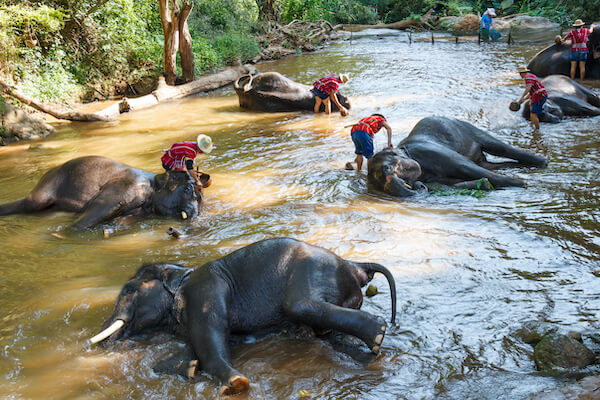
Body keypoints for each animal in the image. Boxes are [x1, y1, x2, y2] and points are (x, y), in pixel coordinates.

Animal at [0, 155, 211, 228]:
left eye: (201, 197)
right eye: (187, 189)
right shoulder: (124, 186)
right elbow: (97, 211)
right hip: (48, 184)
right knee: (33, 201)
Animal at [89, 236, 396, 396]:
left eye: (129, 290)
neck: (181, 273)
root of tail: (355, 266)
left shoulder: (205, 290)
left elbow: (211, 338)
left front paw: (236, 384)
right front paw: (188, 366)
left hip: (310, 272)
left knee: (301, 305)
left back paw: (378, 333)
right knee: (323, 332)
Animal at [366, 115, 548, 197]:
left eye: (388, 168)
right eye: (379, 180)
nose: (415, 185)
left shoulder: (428, 151)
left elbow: (465, 167)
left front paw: (523, 185)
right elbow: (451, 184)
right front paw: (485, 184)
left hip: (468, 129)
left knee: (499, 148)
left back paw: (543, 163)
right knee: (492, 165)